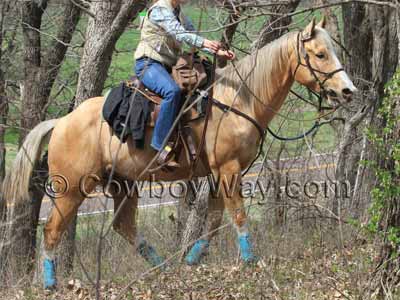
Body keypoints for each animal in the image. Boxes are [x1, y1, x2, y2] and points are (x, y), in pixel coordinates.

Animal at [0, 18, 356, 288]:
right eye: (320, 54)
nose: (347, 91)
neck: (238, 100)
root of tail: (61, 122)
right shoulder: (228, 168)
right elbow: (237, 215)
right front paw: (250, 260)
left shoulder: (218, 173)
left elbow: (213, 218)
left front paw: (193, 259)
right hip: (73, 188)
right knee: (52, 230)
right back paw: (50, 283)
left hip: (123, 185)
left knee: (124, 226)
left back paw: (162, 267)